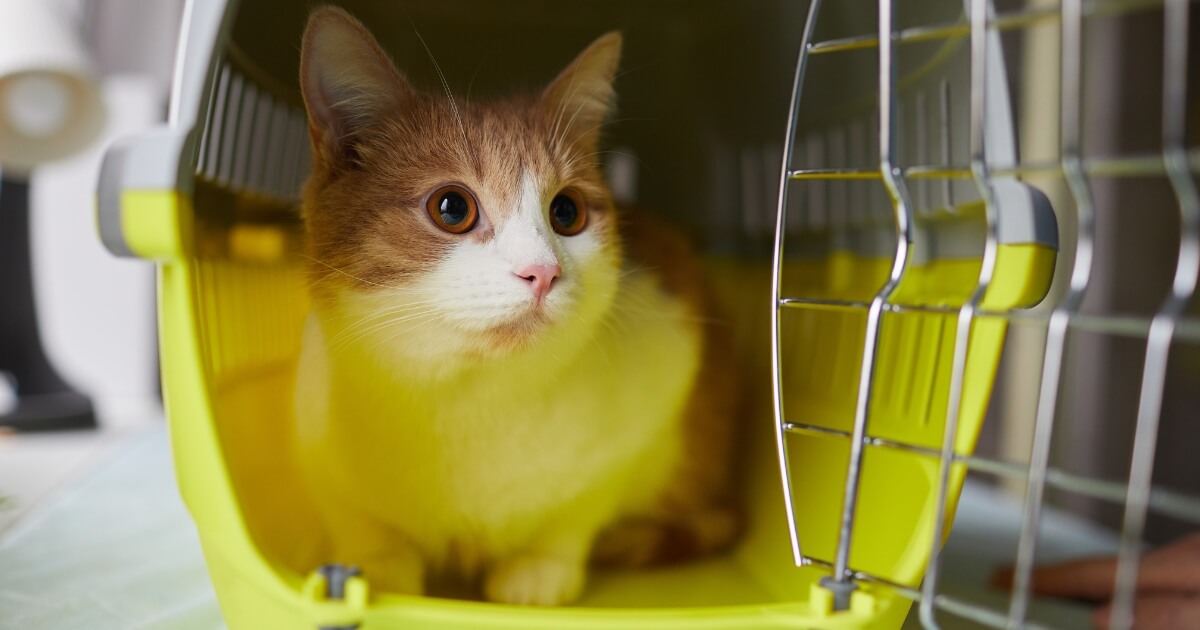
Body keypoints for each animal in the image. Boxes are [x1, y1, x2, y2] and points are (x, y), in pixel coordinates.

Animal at [295, 4, 734, 604]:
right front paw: (374, 564)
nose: (542, 272)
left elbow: (582, 503)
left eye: (567, 212)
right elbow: (356, 513)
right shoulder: (314, 434)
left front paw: (540, 563)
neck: (469, 402)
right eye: (451, 207)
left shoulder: (666, 371)